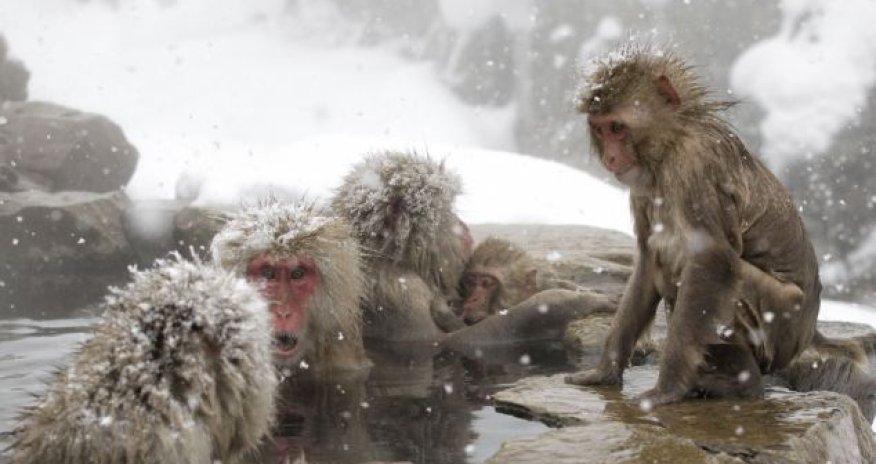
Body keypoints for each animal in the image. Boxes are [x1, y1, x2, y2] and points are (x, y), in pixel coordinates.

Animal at [563, 45, 874, 411]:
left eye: (617, 127)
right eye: (600, 129)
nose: (610, 158)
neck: (670, 144)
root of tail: (811, 331)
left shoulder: (694, 168)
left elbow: (711, 258)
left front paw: (667, 389)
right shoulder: (642, 187)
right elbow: (648, 261)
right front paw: (605, 371)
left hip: (783, 322)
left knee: (712, 277)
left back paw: (741, 384)